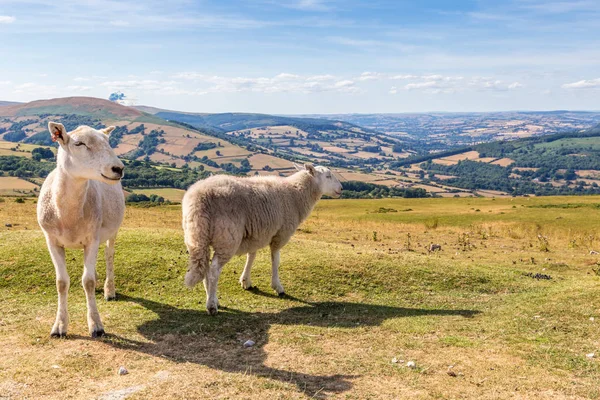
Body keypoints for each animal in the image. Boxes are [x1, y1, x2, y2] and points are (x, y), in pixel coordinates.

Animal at [36, 122, 125, 338]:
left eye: (108, 142)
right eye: (79, 143)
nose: (118, 168)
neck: (68, 216)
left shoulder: (91, 239)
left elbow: (88, 282)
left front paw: (96, 325)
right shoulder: (51, 240)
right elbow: (61, 283)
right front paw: (59, 326)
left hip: (112, 231)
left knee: (109, 255)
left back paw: (109, 290)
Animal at [182, 163, 342, 316]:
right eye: (328, 176)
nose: (341, 188)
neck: (295, 194)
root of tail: (200, 198)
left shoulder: (255, 234)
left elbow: (251, 256)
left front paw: (245, 281)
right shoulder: (280, 234)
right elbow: (276, 260)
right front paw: (277, 287)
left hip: (198, 236)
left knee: (205, 268)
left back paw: (213, 298)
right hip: (227, 239)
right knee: (214, 271)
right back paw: (211, 305)